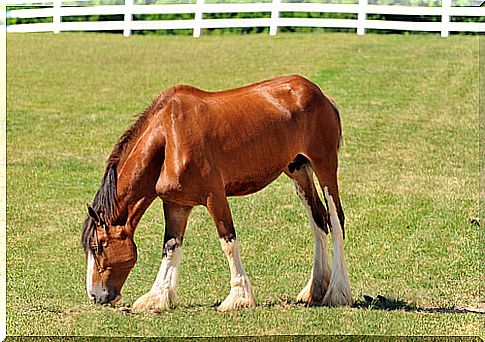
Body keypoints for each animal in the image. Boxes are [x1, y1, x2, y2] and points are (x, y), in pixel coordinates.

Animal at [80, 75, 352, 312]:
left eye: (98, 246)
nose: (94, 295)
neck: (169, 136)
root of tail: (319, 94)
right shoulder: (177, 204)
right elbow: (171, 247)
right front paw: (158, 296)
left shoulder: (215, 197)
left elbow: (228, 242)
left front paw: (239, 297)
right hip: (298, 169)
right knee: (318, 221)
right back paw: (315, 289)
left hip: (325, 166)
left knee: (336, 221)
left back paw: (337, 291)